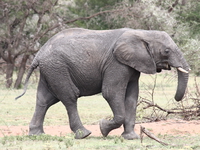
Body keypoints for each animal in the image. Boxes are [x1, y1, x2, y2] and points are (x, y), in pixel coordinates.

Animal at [15, 27, 189, 139]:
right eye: (166, 51)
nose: (176, 98)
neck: (142, 32)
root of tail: (39, 54)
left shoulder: (133, 65)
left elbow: (132, 97)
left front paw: (130, 138)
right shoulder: (116, 63)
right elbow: (111, 92)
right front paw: (103, 128)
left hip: (51, 70)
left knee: (44, 100)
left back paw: (37, 135)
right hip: (57, 68)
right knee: (70, 97)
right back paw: (84, 134)